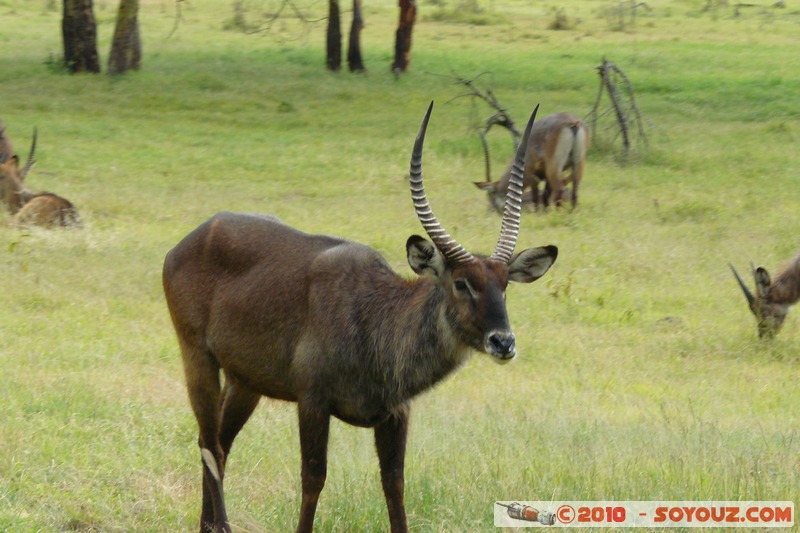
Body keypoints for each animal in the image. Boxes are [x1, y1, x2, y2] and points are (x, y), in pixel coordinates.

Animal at [164, 103, 556, 532]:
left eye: (504, 284)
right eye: (461, 283)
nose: (503, 341)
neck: (376, 319)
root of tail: (193, 236)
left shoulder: (396, 413)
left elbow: (394, 483)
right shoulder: (312, 400)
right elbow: (313, 478)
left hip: (245, 379)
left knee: (219, 440)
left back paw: (208, 523)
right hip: (197, 356)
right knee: (210, 443)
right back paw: (222, 524)